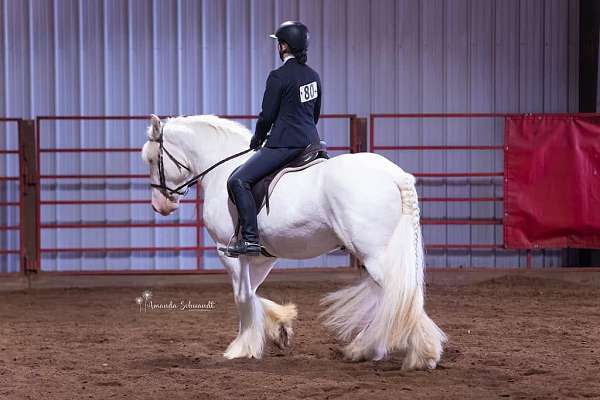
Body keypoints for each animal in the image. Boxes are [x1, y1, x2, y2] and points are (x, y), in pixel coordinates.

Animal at [142, 114, 446, 370]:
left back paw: (421, 354)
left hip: (376, 256)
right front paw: (279, 329)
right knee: (396, 297)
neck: (222, 167)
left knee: (401, 296)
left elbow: (242, 295)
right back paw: (367, 349)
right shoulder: (263, 256)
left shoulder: (228, 252)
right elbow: (252, 293)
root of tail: (395, 175)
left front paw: (242, 347)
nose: (160, 205)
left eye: (151, 159)